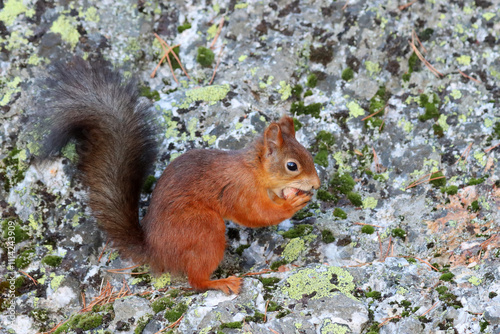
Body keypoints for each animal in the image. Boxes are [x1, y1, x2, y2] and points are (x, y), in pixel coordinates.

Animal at [37, 58, 322, 294]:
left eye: (309, 154)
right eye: (292, 166)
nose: (317, 184)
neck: (254, 170)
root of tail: (156, 253)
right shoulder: (239, 191)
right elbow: (257, 214)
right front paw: (292, 203)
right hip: (204, 230)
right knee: (196, 280)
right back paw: (220, 282)